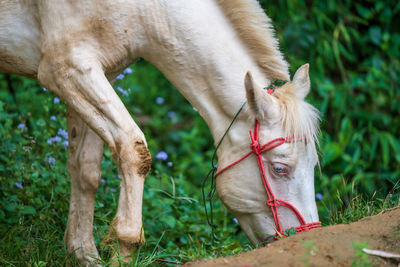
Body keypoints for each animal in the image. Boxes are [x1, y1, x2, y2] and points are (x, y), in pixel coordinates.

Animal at [0, 0, 318, 264]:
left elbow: (85, 169)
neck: (145, 10)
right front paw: (124, 247)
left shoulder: (93, 76)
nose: (306, 238)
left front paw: (83, 253)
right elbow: (133, 150)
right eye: (279, 168)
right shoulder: (68, 69)